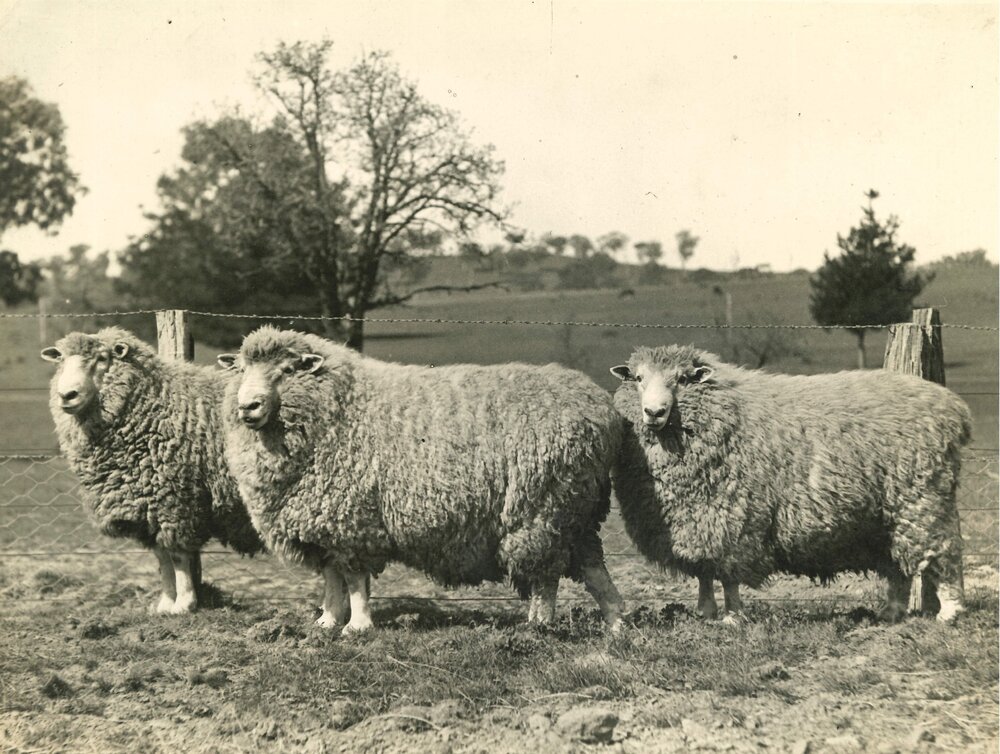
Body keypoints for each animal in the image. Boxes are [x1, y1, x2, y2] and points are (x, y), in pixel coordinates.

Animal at [41, 327, 265, 613]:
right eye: (60, 360)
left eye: (102, 358)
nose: (67, 395)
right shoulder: (147, 504)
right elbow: (161, 557)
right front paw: (165, 604)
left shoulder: (174, 500)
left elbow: (177, 555)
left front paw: (184, 604)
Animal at [217, 325, 626, 633]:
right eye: (240, 369)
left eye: (287, 370)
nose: (247, 406)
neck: (338, 405)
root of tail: (600, 407)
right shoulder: (322, 523)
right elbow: (332, 577)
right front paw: (327, 622)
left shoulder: (352, 519)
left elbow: (355, 579)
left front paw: (357, 626)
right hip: (577, 510)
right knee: (593, 568)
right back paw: (616, 623)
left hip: (541, 509)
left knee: (545, 575)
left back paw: (538, 626)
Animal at [610, 344, 971, 623]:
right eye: (638, 378)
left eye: (683, 379)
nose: (653, 412)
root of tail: (953, 408)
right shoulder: (696, 520)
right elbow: (704, 572)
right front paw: (706, 611)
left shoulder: (733, 517)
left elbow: (728, 576)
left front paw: (732, 617)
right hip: (886, 517)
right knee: (897, 565)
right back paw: (892, 612)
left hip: (922, 497)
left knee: (945, 553)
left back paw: (950, 612)